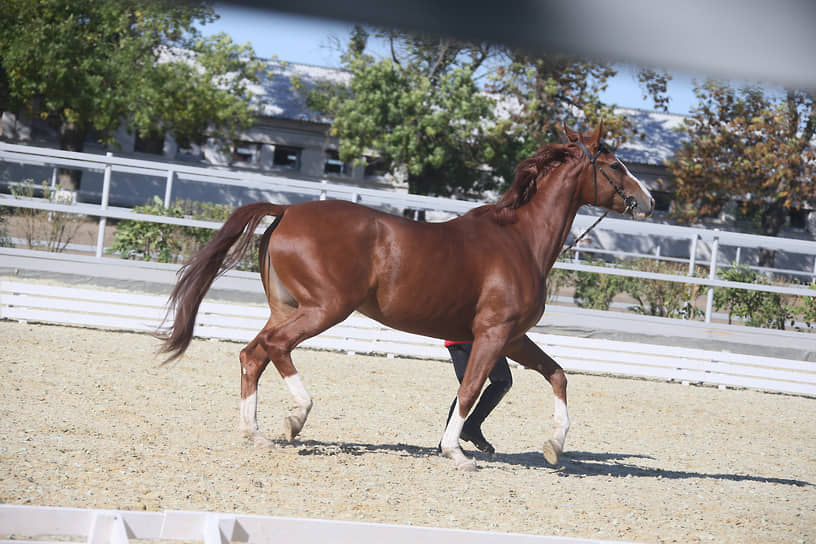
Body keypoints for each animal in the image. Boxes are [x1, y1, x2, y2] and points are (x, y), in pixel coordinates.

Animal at [161, 122, 656, 468]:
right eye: (616, 165)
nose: (649, 201)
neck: (520, 241)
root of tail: (286, 210)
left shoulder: (514, 337)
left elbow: (557, 376)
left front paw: (554, 446)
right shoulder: (493, 334)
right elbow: (470, 388)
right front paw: (456, 453)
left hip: (287, 308)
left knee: (253, 355)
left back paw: (256, 433)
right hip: (325, 308)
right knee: (275, 348)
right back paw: (296, 417)